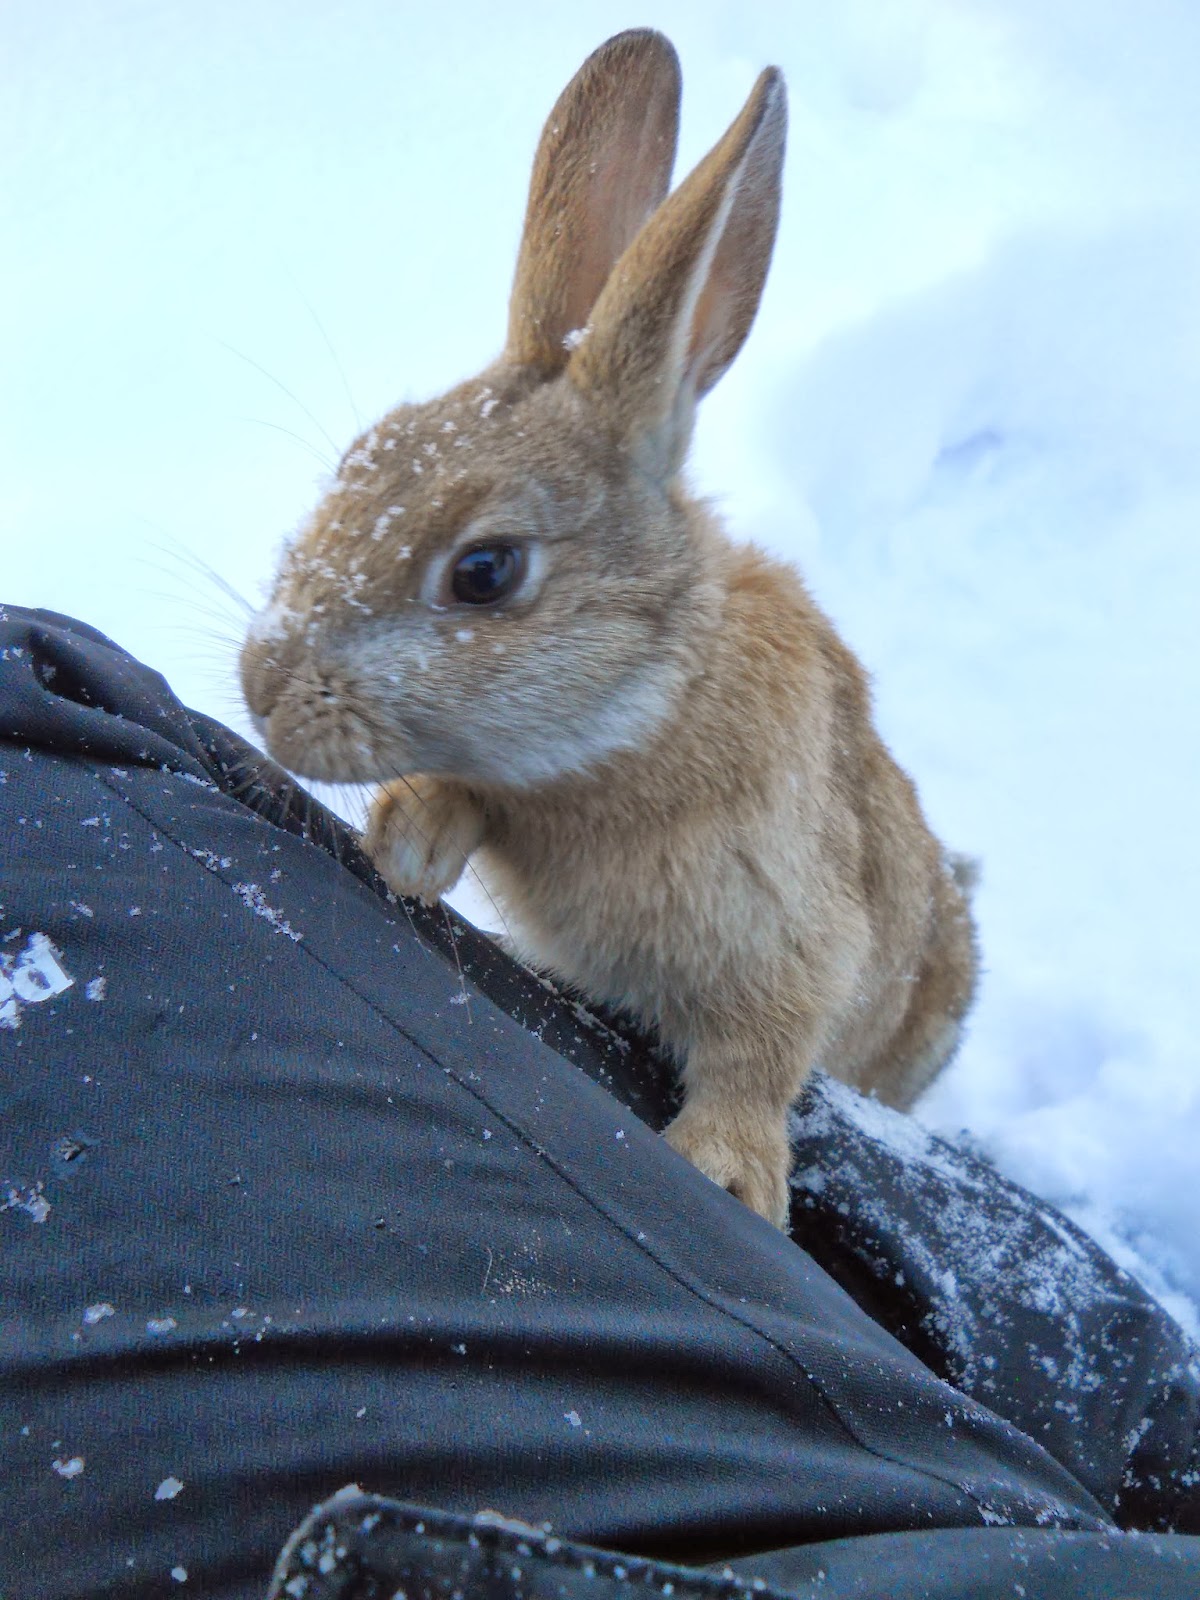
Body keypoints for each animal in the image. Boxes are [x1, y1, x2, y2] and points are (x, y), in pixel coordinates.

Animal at [239, 28, 978, 1230]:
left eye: (485, 571)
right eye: (357, 458)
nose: (261, 689)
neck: (649, 717)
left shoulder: (793, 931)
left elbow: (762, 1051)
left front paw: (727, 1175)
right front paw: (408, 841)